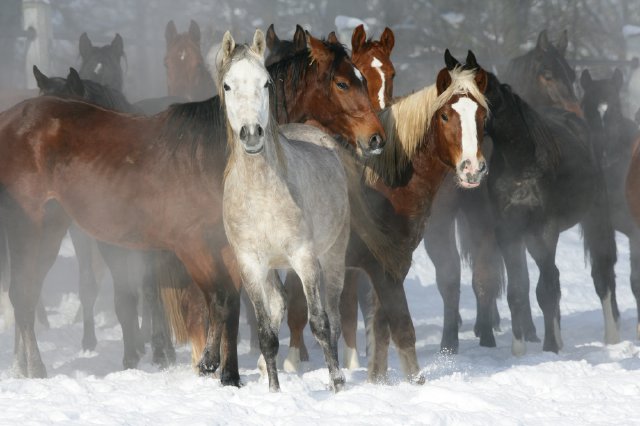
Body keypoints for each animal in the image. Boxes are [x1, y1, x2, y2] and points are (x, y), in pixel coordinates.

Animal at [220, 30, 350, 392]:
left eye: (265, 83)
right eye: (227, 85)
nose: (251, 134)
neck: (261, 194)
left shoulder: (304, 257)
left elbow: (320, 323)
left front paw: (337, 383)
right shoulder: (250, 264)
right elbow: (266, 334)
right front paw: (274, 391)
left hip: (332, 256)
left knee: (334, 315)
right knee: (279, 305)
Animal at [484, 65, 620, 352]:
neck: (522, 164)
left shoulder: (545, 229)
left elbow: (545, 290)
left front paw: (550, 347)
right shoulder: (509, 232)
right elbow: (518, 291)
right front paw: (519, 351)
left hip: (595, 217)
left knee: (601, 274)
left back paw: (611, 337)